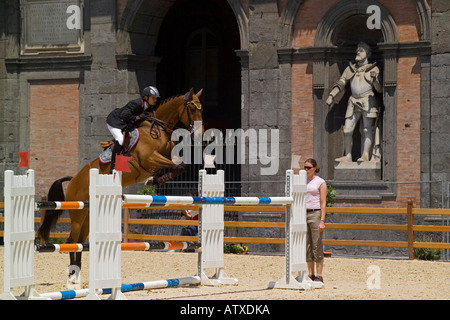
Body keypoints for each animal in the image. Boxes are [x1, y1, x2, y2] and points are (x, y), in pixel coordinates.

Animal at [38, 87, 204, 288]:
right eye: (193, 109)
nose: (201, 134)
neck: (157, 130)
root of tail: (73, 179)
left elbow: (180, 165)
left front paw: (157, 179)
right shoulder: (149, 159)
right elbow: (176, 166)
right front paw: (152, 180)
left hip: (87, 215)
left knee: (80, 241)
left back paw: (77, 275)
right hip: (77, 214)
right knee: (72, 240)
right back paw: (73, 278)